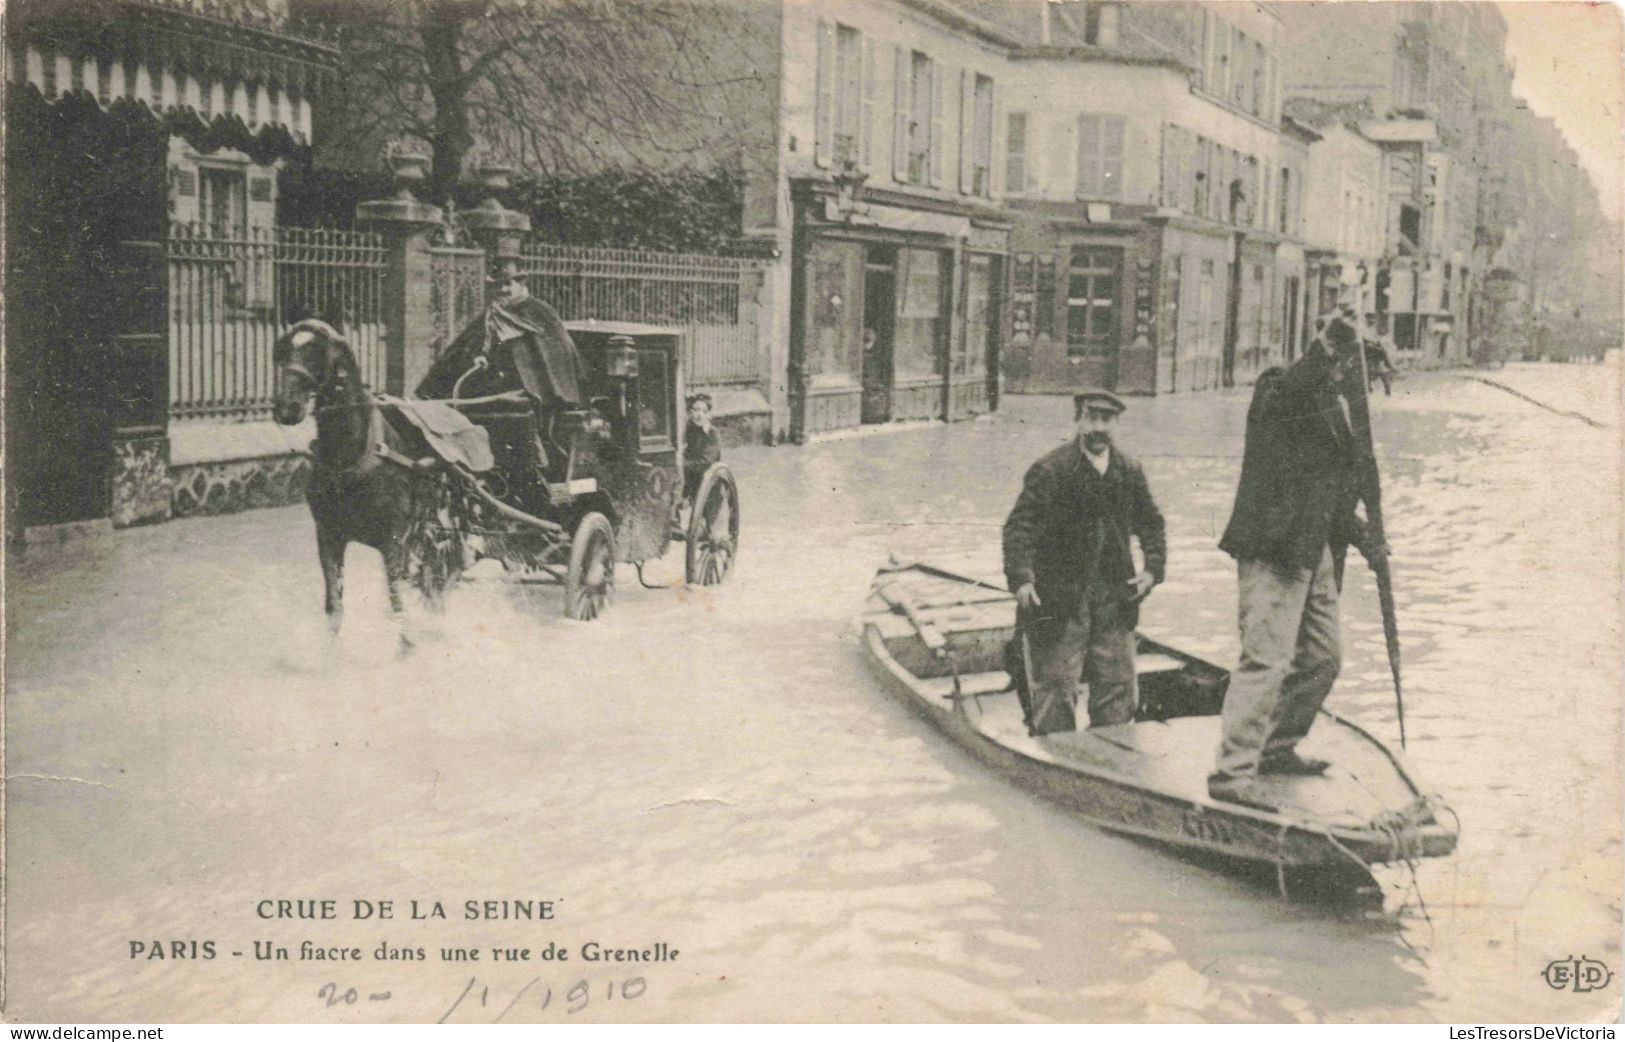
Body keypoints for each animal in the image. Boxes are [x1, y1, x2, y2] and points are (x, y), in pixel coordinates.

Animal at [273, 318, 448, 650]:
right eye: (285, 352)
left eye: (317, 352)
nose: (286, 408)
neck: (350, 460)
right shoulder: (328, 536)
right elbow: (334, 606)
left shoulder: (393, 541)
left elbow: (397, 602)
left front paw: (408, 651)